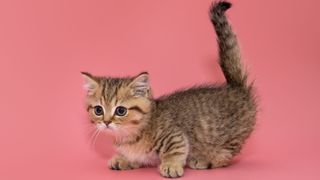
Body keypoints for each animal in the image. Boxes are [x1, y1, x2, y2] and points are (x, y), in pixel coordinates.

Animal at [81, 1, 256, 178]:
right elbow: (136, 157)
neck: (131, 135)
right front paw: (123, 159)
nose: (106, 122)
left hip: (230, 137)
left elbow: (176, 149)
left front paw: (171, 165)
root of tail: (236, 87)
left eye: (121, 111)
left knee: (227, 155)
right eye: (98, 110)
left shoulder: (175, 135)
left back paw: (206, 160)